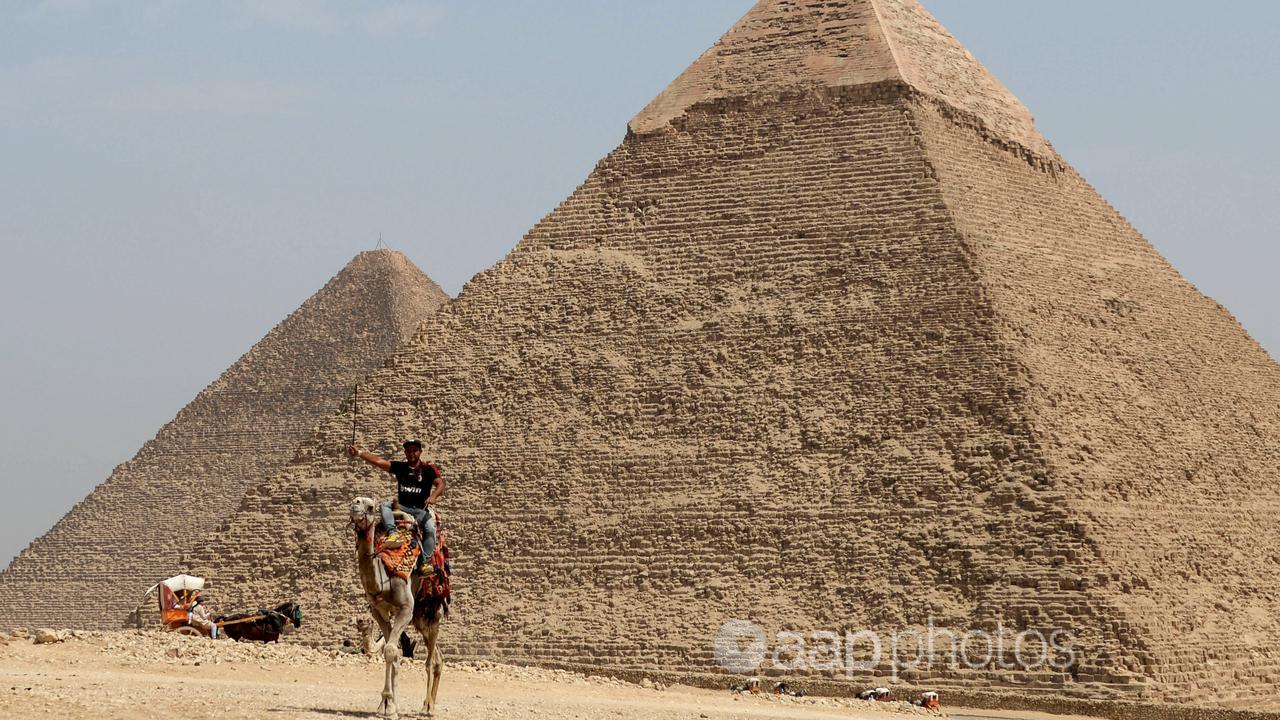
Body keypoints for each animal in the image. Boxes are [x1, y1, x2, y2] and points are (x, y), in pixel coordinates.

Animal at [350, 497, 445, 712]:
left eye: (370, 506)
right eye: (356, 501)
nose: (355, 504)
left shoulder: (405, 610)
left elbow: (391, 651)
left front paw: (389, 705)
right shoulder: (379, 612)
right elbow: (392, 652)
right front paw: (387, 704)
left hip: (432, 612)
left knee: (431, 660)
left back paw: (428, 708)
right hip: (420, 619)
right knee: (437, 656)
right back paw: (429, 703)